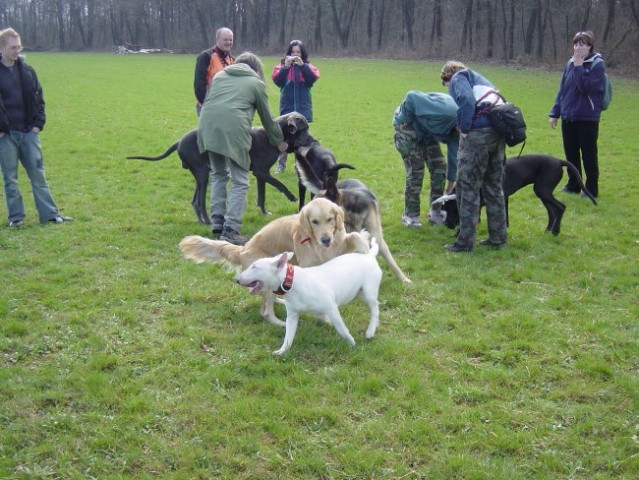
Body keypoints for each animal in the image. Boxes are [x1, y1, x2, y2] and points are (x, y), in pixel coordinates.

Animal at [127, 113, 310, 223]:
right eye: (304, 129)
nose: (312, 140)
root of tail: (179, 142)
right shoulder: (262, 171)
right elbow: (280, 184)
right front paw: (292, 197)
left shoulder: (261, 174)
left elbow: (262, 196)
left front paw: (265, 213)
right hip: (202, 173)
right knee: (199, 202)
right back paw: (208, 222)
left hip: (201, 175)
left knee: (194, 201)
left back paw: (202, 222)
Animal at [180, 198, 370, 326]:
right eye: (314, 222)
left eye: (330, 219)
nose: (326, 239)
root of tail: (242, 250)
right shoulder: (309, 264)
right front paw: (324, 318)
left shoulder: (337, 248)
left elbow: (353, 235)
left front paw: (364, 247)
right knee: (265, 311)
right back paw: (280, 323)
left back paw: (282, 300)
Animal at [238, 238, 382, 354]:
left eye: (255, 266)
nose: (237, 280)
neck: (292, 283)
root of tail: (369, 256)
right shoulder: (292, 315)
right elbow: (288, 335)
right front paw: (282, 351)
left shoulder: (331, 308)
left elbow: (341, 328)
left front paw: (351, 343)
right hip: (359, 293)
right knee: (376, 305)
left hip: (368, 291)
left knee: (374, 308)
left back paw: (370, 331)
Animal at [432, 155, 596, 235]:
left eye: (451, 210)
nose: (447, 225)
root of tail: (559, 161)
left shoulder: (501, 197)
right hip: (542, 192)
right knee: (552, 211)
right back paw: (548, 230)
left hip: (543, 190)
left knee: (561, 207)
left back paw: (555, 231)